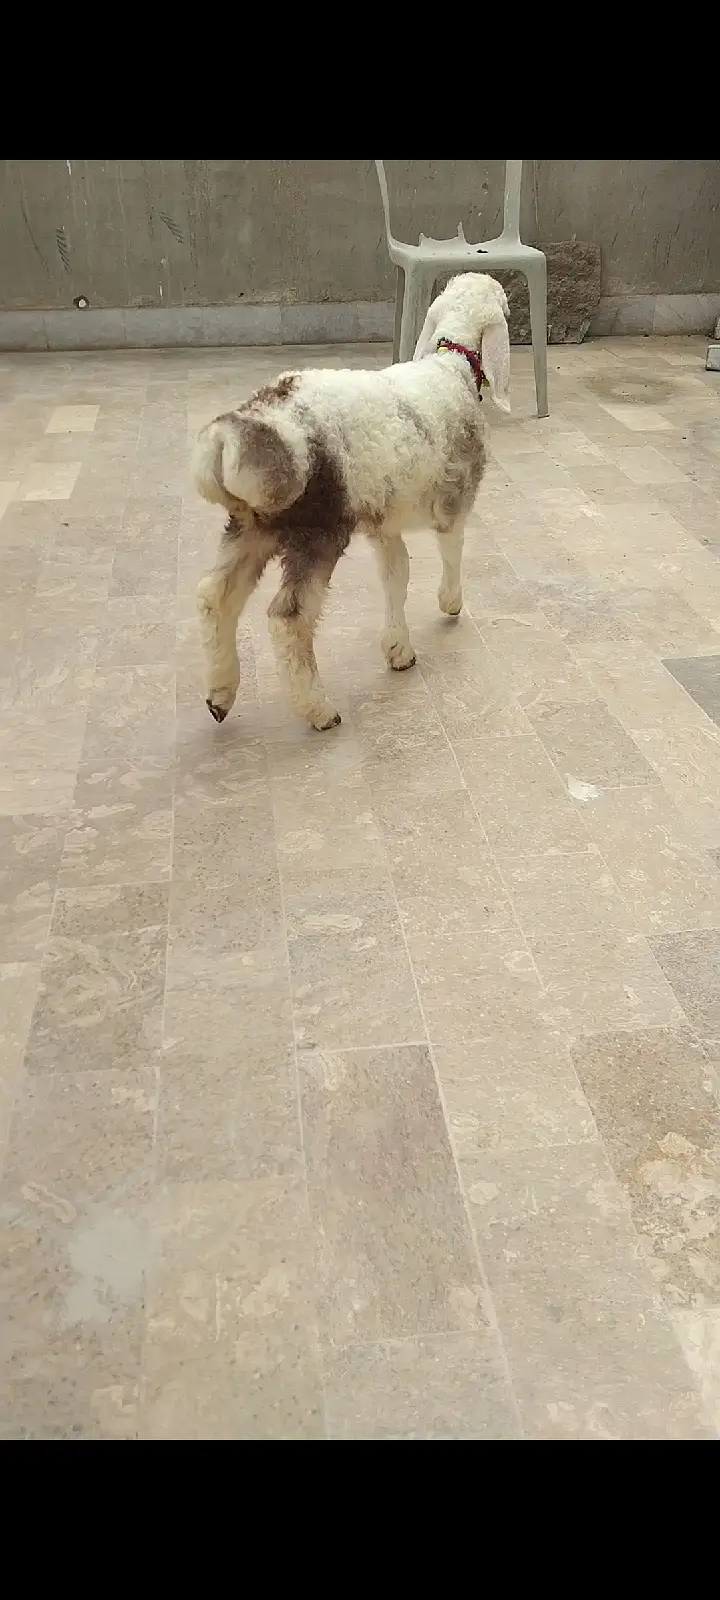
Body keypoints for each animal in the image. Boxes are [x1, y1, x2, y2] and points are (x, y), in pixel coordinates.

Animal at [191, 272, 511, 730]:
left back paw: (220, 695)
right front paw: (450, 603)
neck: (450, 368)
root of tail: (238, 432)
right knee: (288, 619)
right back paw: (319, 710)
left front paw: (398, 649)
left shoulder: (384, 522)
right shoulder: (455, 502)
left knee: (215, 598)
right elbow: (452, 551)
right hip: (318, 529)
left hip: (253, 525)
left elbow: (397, 576)